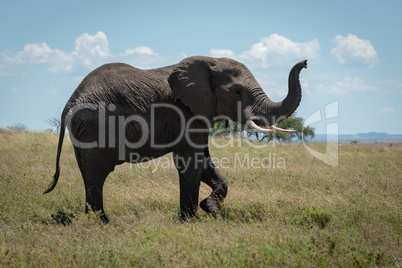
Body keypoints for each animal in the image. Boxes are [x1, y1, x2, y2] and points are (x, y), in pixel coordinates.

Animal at [44, 56, 308, 222]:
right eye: (237, 92)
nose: (305, 63)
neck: (210, 62)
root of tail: (71, 100)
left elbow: (204, 161)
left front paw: (210, 209)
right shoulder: (185, 112)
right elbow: (191, 163)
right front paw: (189, 221)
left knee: (88, 174)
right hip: (95, 127)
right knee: (97, 175)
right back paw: (103, 222)